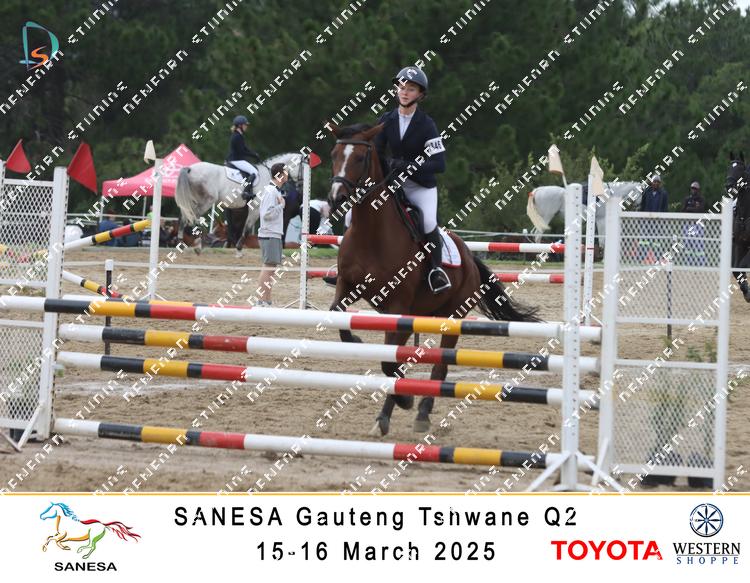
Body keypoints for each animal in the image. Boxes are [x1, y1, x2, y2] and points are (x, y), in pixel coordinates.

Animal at [175, 152, 305, 255]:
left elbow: (237, 228)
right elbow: (246, 228)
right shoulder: (255, 208)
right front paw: (239, 248)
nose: (300, 189)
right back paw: (198, 244)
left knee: (184, 217)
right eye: (303, 168)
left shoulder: (240, 209)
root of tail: (190, 169)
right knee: (193, 218)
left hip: (192, 201)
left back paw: (181, 243)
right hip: (206, 201)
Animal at [327, 123, 539, 436]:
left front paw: (403, 401)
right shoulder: (347, 285)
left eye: (360, 158)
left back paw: (420, 412)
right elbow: (337, 315)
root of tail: (468, 255)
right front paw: (354, 337)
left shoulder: (398, 308)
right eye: (334, 155)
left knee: (440, 367)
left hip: (452, 317)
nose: (336, 198)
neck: (371, 232)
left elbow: (391, 363)